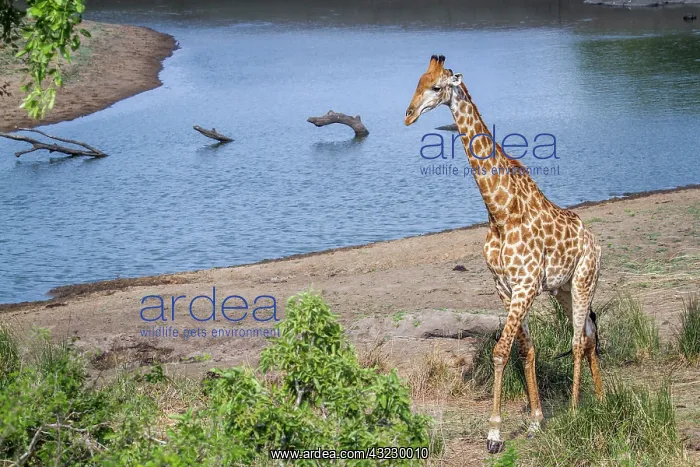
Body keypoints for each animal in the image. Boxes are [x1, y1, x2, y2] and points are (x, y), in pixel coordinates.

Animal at [404, 55, 603, 454]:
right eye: (416, 83)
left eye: (436, 87)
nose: (408, 114)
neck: (499, 212)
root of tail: (594, 241)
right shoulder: (505, 288)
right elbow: (525, 351)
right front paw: (535, 422)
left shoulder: (524, 287)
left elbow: (499, 352)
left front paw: (494, 434)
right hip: (562, 290)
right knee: (589, 334)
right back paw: (603, 399)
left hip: (584, 280)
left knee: (577, 340)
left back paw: (577, 410)